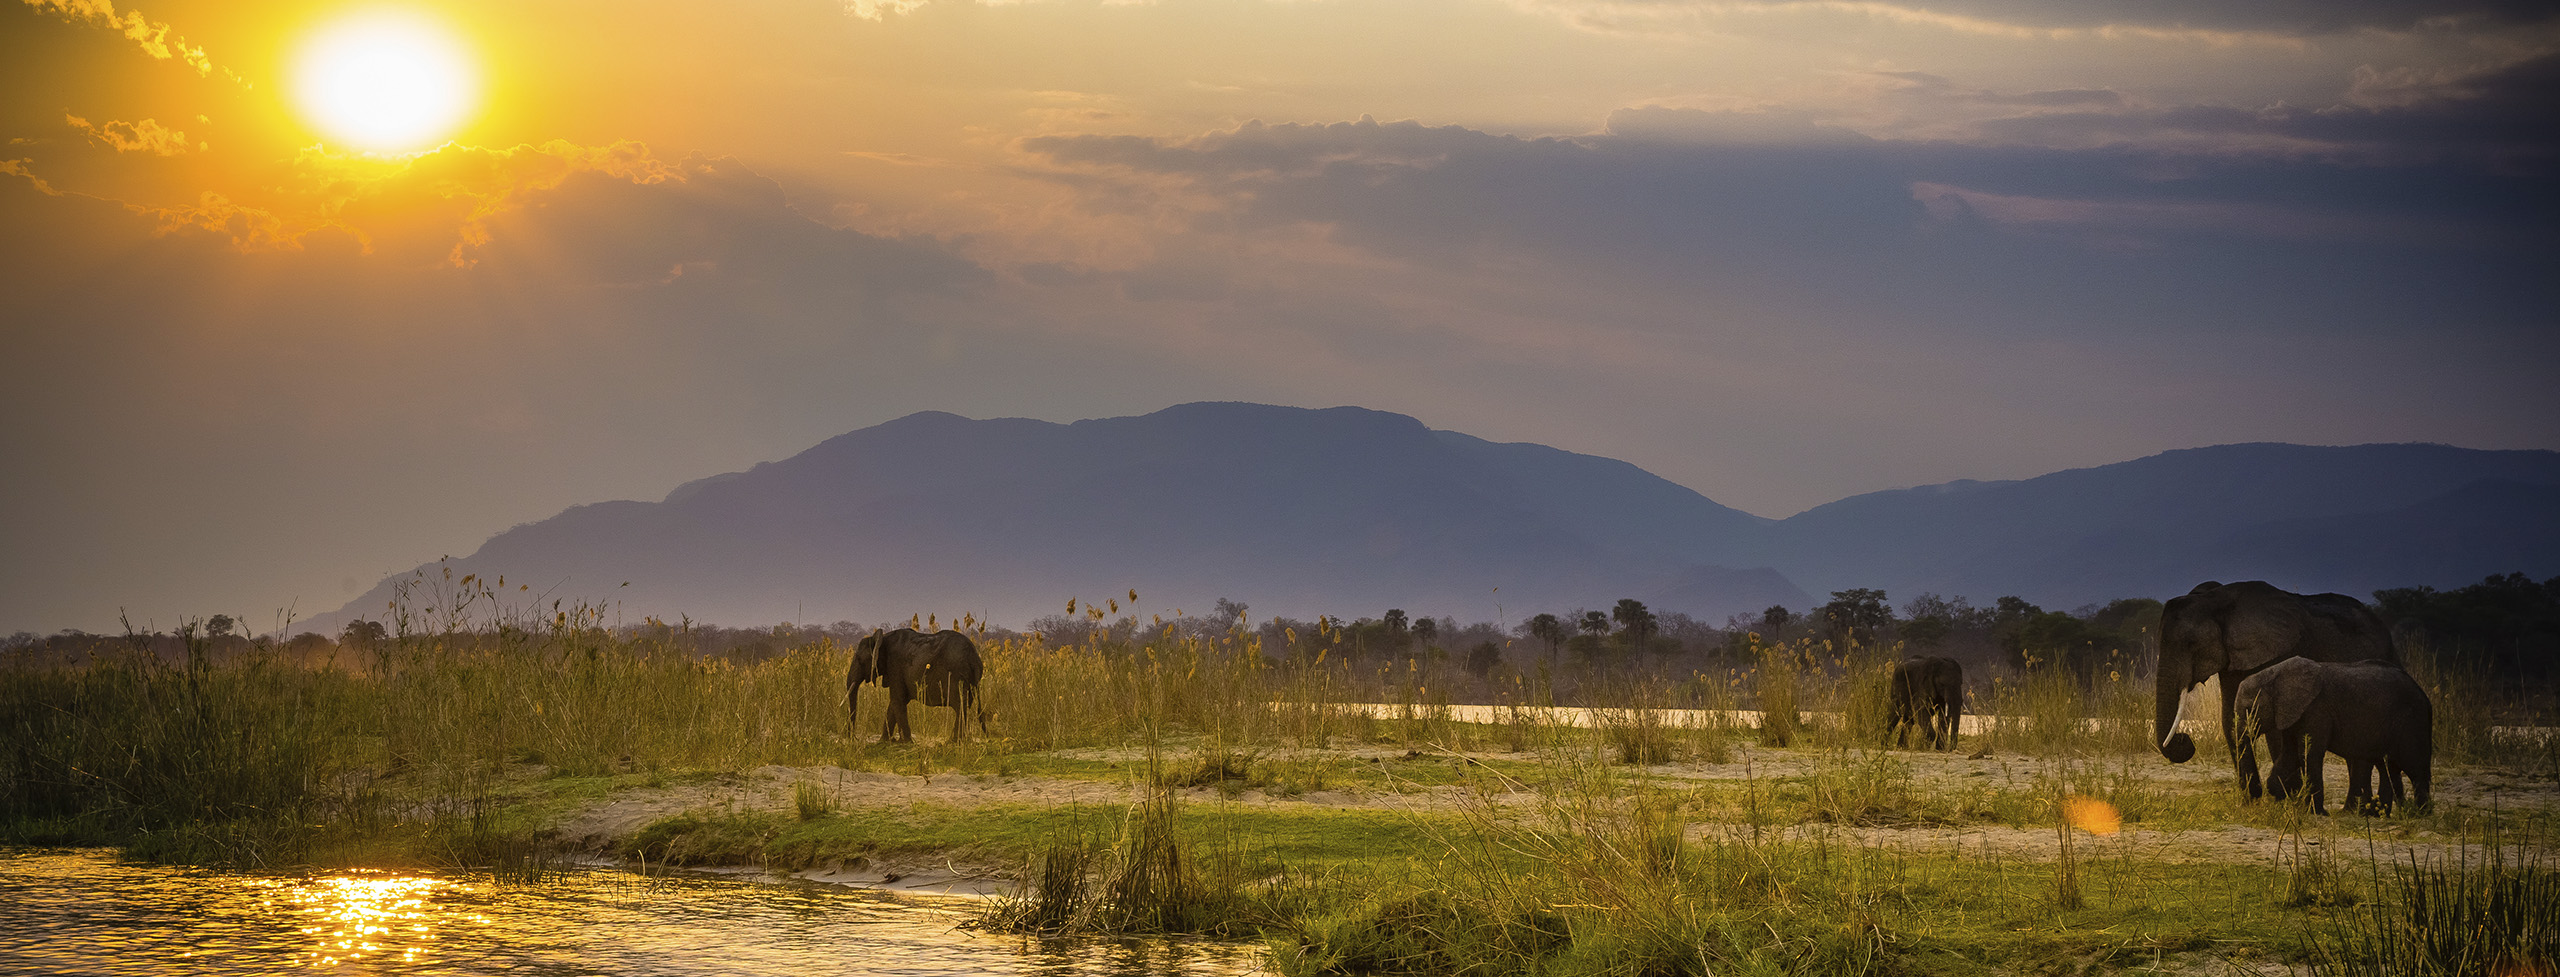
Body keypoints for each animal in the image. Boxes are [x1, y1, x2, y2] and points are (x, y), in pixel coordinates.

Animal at [855, 629, 983, 741]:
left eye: (860, 660)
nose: (854, 738)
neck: (882, 638)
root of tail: (974, 656)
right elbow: (895, 702)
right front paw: (886, 741)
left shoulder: (895, 666)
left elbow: (897, 700)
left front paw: (905, 742)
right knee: (965, 704)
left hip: (956, 675)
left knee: (960, 705)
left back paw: (953, 741)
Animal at [2160, 580, 2396, 803]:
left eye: (2192, 643)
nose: (2184, 739)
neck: (2217, 600)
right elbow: (2232, 719)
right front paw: (2253, 798)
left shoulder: (2277, 653)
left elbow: (2274, 722)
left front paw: (2286, 796)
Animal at [2232, 654, 2426, 818]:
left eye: (2250, 710)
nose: (2256, 797)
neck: (2274, 674)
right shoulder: (2291, 713)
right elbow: (2290, 754)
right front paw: (2280, 795)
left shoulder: (2316, 710)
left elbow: (2308, 754)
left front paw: (2316, 812)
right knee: (2388, 767)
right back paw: (2379, 815)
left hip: (2413, 721)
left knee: (2415, 767)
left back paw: (2421, 813)